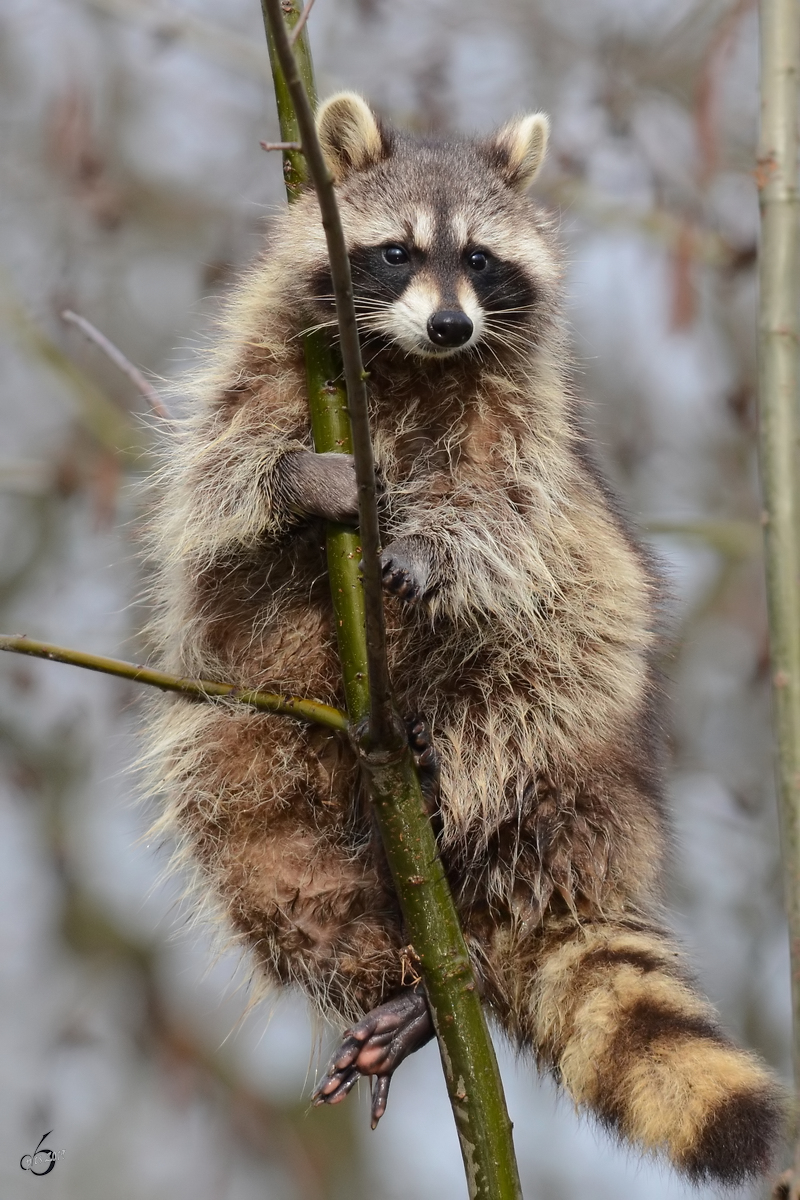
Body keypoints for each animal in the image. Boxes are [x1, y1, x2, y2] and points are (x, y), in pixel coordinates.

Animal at [145, 93, 786, 1180]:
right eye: (397, 251)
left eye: (480, 259)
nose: (450, 323)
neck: (410, 363)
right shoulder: (262, 367)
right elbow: (219, 481)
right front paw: (293, 485)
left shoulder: (524, 426)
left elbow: (508, 519)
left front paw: (431, 546)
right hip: (252, 745)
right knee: (267, 861)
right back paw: (393, 979)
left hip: (576, 722)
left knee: (535, 671)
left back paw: (458, 816)